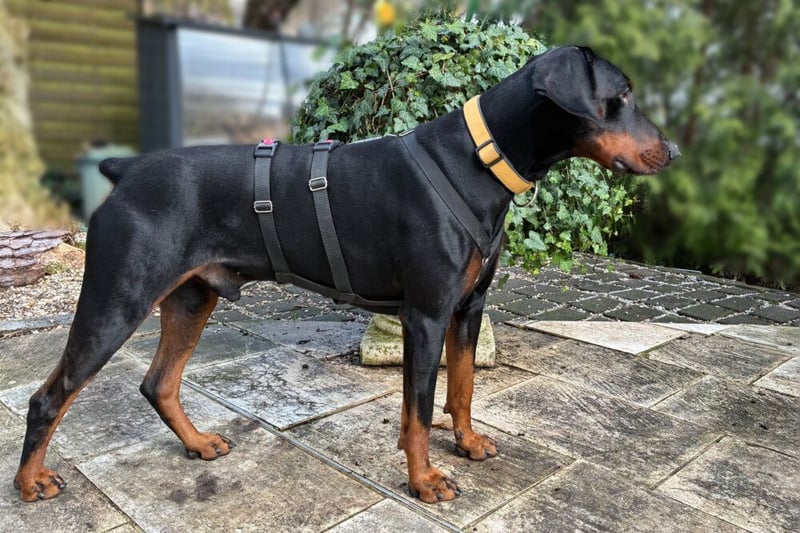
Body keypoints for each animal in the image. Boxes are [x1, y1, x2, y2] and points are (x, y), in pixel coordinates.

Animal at [15, 46, 679, 503]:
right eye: (620, 95)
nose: (671, 152)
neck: (479, 160)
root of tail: (126, 171)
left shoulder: (468, 309)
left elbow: (463, 389)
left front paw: (466, 444)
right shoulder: (425, 316)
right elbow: (418, 411)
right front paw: (425, 480)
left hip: (192, 297)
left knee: (159, 383)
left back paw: (198, 443)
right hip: (117, 300)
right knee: (49, 397)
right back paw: (30, 483)